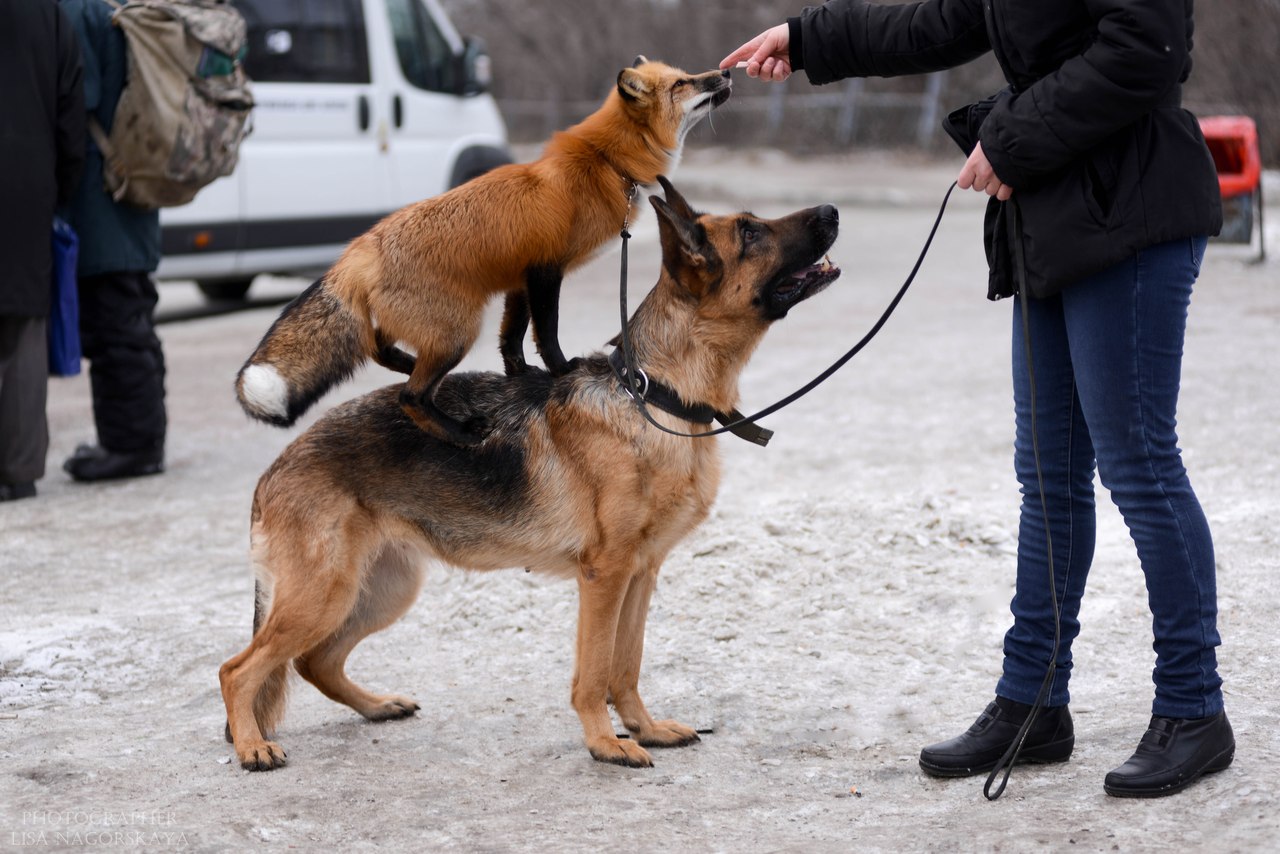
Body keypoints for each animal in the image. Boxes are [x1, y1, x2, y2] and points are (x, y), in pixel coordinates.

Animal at [217, 176, 839, 773]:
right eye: (750, 232)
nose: (832, 211)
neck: (654, 395)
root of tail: (276, 468)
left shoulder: (641, 574)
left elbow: (627, 667)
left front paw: (644, 729)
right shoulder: (606, 577)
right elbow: (595, 672)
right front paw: (605, 744)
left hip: (381, 591)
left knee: (313, 661)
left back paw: (376, 706)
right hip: (324, 594)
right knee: (239, 669)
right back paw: (253, 747)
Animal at [232, 56, 732, 445]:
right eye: (684, 83)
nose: (725, 73)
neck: (606, 162)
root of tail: (361, 246)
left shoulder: (519, 278)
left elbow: (512, 340)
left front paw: (521, 377)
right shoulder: (546, 269)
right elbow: (546, 333)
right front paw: (559, 370)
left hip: (434, 330)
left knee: (381, 351)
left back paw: (414, 369)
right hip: (458, 330)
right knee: (410, 396)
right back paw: (459, 432)